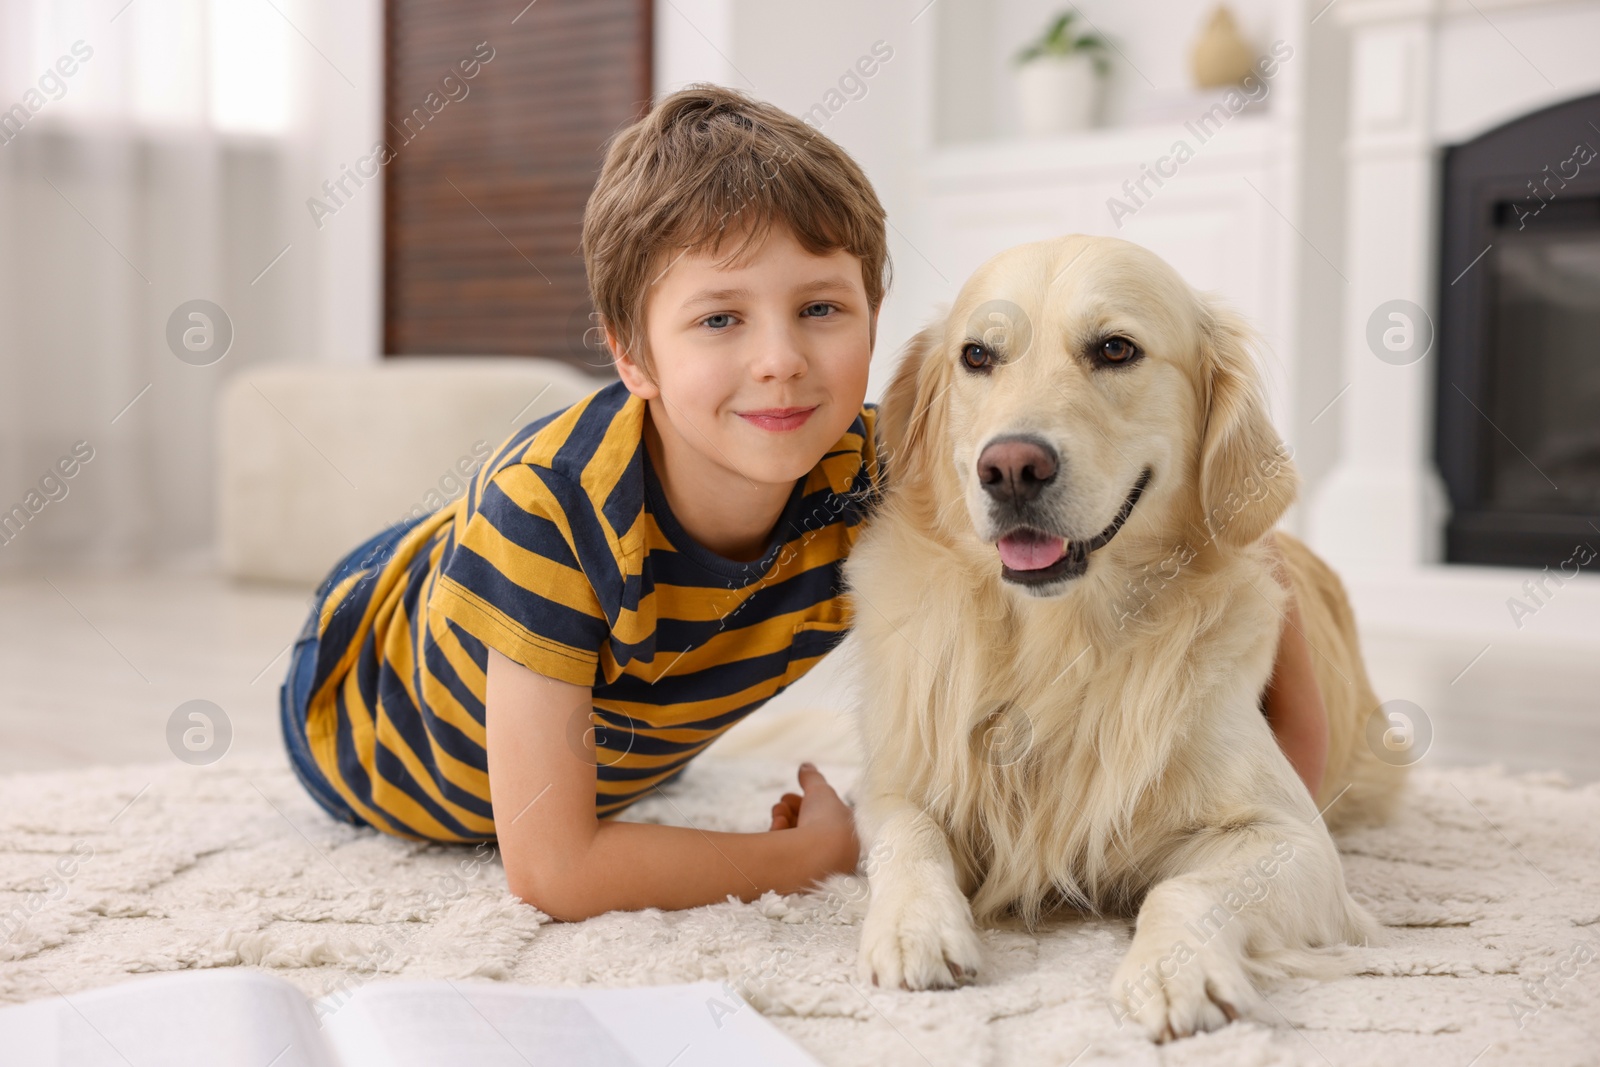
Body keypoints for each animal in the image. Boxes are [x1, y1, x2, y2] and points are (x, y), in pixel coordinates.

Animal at [844, 233, 1408, 1043]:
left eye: (1116, 348)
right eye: (977, 356)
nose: (1010, 468)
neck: (1061, 638)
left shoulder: (1293, 838)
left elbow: (1183, 889)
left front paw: (1173, 971)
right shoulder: (891, 782)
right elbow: (909, 837)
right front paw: (912, 927)